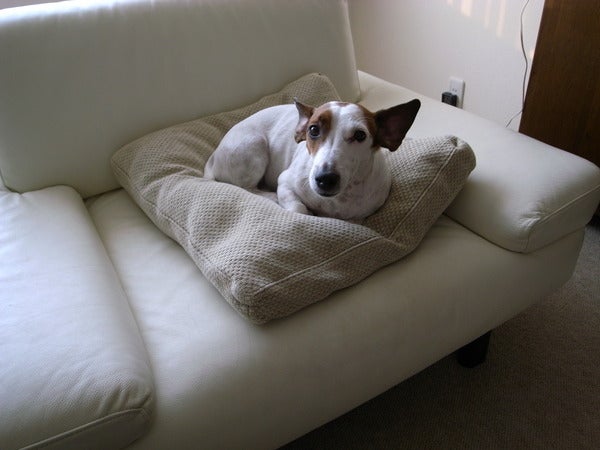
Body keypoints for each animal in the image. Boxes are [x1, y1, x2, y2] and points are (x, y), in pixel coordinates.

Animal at [204, 98, 420, 220]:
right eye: (313, 130)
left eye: (360, 135)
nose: (325, 178)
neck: (337, 201)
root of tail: (213, 157)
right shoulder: (285, 182)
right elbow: (299, 209)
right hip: (254, 146)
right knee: (247, 188)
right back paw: (271, 196)